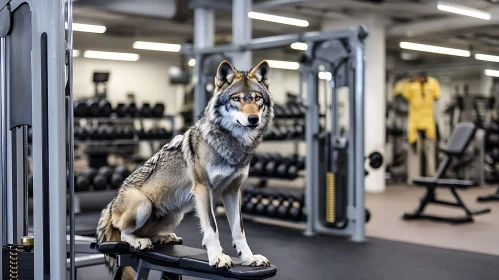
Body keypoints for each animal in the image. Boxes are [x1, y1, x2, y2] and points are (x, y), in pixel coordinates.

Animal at [96, 59, 274, 276]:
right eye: (236, 99)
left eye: (257, 98)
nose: (253, 119)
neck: (232, 146)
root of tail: (112, 204)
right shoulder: (203, 189)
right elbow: (212, 228)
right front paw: (217, 258)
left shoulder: (232, 191)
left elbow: (239, 230)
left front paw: (249, 259)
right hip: (143, 205)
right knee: (123, 233)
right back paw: (139, 242)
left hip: (175, 215)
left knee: (149, 233)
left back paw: (164, 237)